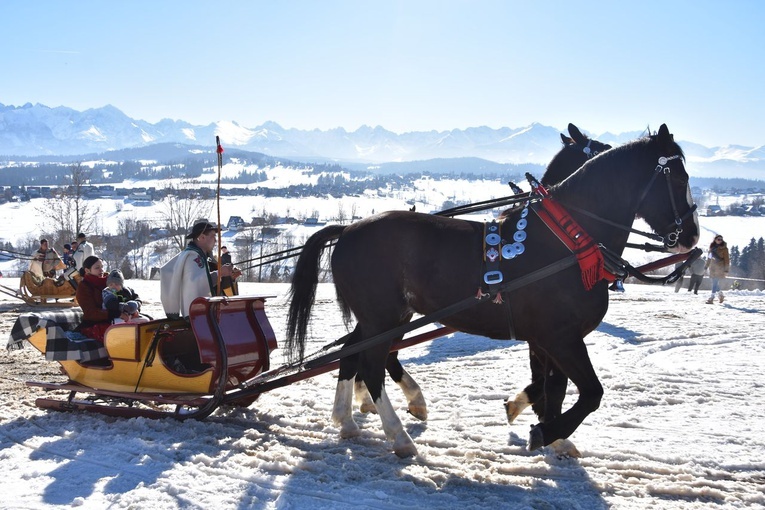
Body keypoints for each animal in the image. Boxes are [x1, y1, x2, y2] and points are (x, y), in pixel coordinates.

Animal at [284, 124, 696, 458]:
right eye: (678, 179)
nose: (691, 235)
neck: (567, 242)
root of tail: (348, 229)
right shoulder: (560, 337)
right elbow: (589, 392)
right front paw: (546, 432)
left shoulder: (547, 339)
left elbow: (552, 386)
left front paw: (546, 429)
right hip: (383, 317)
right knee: (370, 365)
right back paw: (400, 436)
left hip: (386, 317)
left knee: (353, 355)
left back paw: (349, 420)